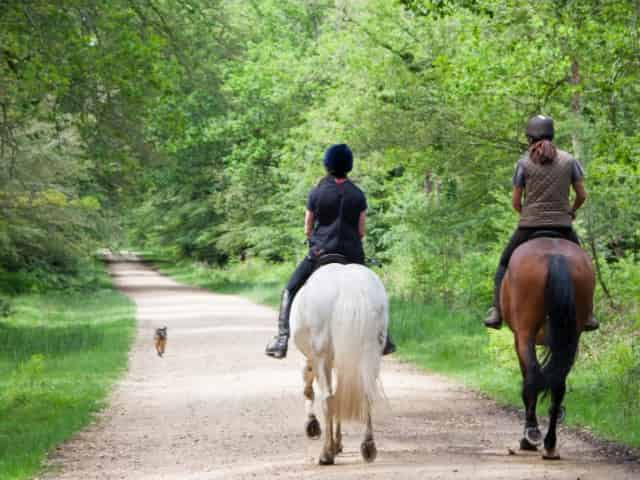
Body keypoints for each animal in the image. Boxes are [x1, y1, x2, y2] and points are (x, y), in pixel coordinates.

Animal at [288, 262, 388, 464]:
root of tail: (349, 287)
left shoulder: (312, 358)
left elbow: (309, 387)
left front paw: (313, 426)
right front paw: (338, 443)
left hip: (322, 356)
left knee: (328, 398)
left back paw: (326, 454)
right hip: (371, 354)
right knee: (365, 394)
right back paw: (368, 447)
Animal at [500, 234, 596, 460]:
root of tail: (556, 256)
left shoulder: (519, 337)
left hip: (525, 332)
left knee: (533, 377)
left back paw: (531, 436)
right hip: (572, 336)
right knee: (558, 384)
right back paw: (550, 444)